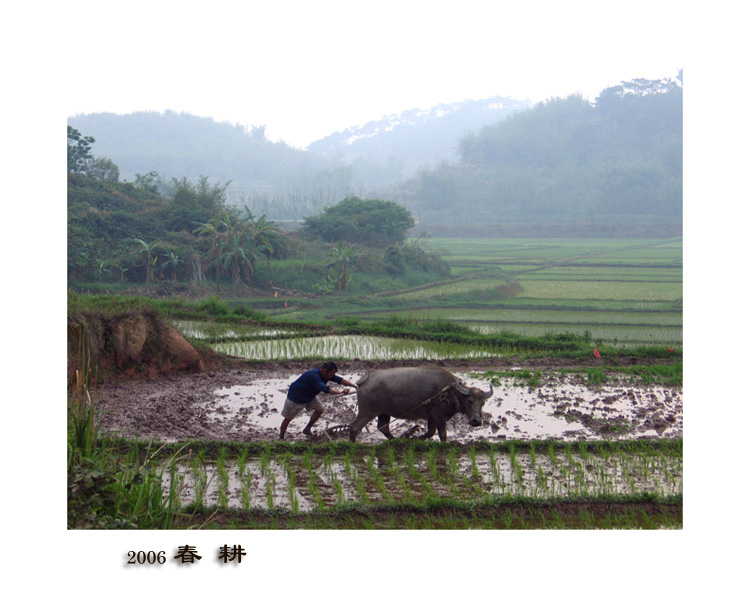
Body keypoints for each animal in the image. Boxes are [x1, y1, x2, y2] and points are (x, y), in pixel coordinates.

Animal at [352, 364, 496, 442]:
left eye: (483, 403)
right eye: (469, 401)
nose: (477, 421)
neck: (449, 391)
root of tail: (365, 379)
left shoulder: (431, 417)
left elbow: (430, 432)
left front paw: (416, 437)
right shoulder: (439, 416)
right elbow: (442, 434)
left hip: (384, 413)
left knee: (383, 427)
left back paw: (397, 440)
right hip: (367, 412)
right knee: (354, 427)